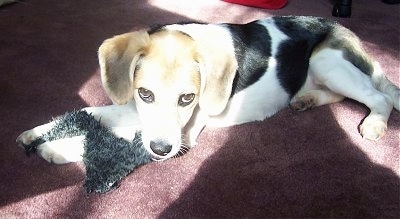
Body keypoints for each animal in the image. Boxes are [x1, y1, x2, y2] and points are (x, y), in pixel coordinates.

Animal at [16, 15, 400, 163]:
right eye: (144, 94)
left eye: (188, 98)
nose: (160, 150)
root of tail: (339, 26)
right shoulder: (132, 110)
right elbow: (84, 113)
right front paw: (37, 132)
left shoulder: (180, 134)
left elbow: (108, 136)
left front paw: (55, 148)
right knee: (339, 95)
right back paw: (305, 99)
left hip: (327, 61)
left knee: (380, 96)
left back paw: (375, 124)